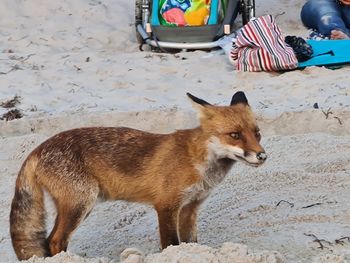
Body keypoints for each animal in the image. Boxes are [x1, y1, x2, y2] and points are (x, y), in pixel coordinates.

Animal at [9, 92, 266, 260]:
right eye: (234, 135)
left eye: (257, 134)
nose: (262, 155)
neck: (198, 162)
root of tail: (38, 147)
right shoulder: (166, 205)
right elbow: (170, 244)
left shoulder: (190, 207)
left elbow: (189, 244)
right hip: (80, 203)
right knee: (54, 240)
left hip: (79, 205)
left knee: (49, 241)